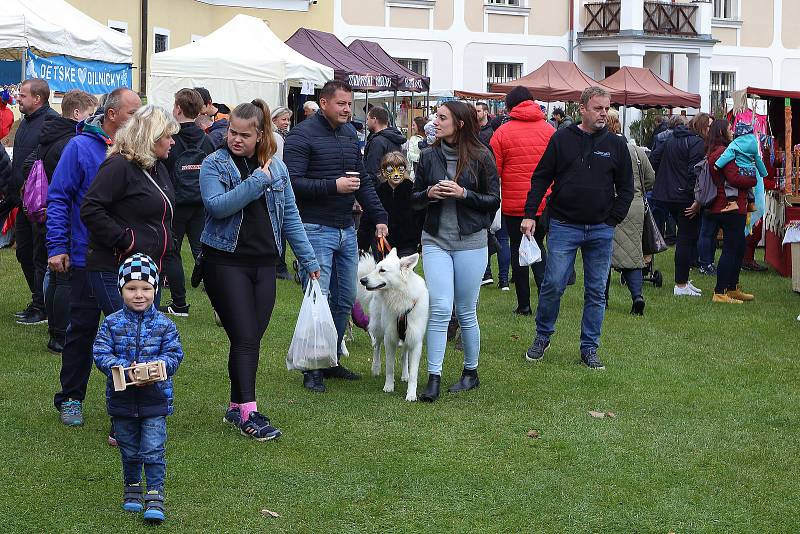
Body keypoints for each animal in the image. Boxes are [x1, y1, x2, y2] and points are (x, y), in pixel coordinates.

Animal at [360, 250, 428, 402]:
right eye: (376, 268)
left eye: (382, 270)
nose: (362, 280)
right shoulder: (389, 339)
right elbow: (390, 367)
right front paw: (389, 387)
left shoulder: (415, 341)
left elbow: (413, 373)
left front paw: (411, 394)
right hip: (379, 329)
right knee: (376, 347)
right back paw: (376, 368)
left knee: (404, 355)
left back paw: (404, 375)